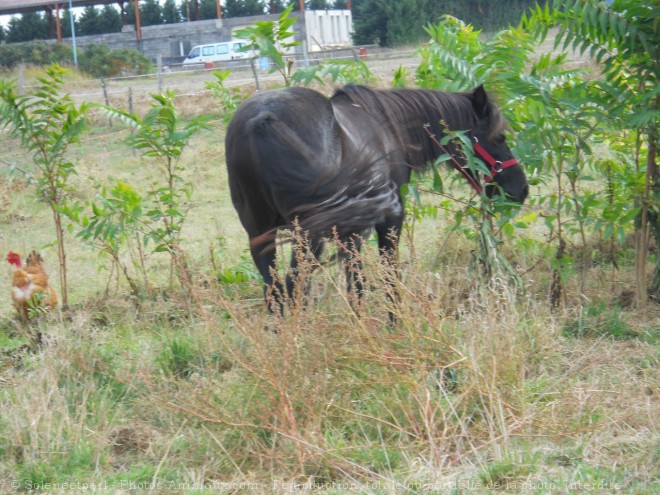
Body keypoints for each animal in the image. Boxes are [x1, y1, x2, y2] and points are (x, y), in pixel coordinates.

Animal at [224, 85, 528, 310]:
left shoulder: (349, 234)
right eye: (499, 137)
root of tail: (262, 120)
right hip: (308, 237)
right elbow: (382, 279)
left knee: (275, 292)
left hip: (261, 235)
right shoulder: (386, 220)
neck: (386, 125)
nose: (521, 190)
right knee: (295, 286)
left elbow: (356, 284)